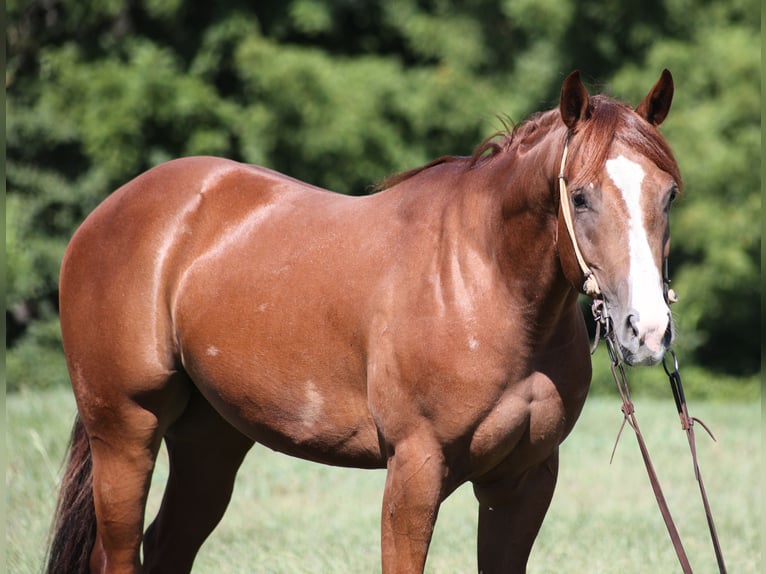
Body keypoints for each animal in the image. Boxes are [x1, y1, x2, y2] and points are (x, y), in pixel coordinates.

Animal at [47, 69, 681, 573]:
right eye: (581, 197)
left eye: (670, 194)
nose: (646, 331)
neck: (486, 282)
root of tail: (110, 212)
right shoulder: (415, 470)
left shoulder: (523, 480)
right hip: (125, 432)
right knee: (118, 553)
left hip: (210, 441)